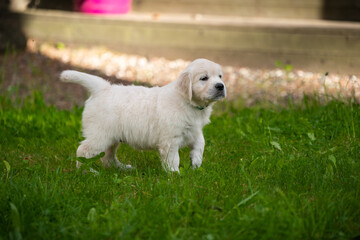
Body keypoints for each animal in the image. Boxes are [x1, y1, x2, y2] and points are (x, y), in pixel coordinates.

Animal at [60, 58, 226, 172]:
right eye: (204, 78)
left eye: (220, 76)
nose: (221, 86)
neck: (189, 102)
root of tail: (102, 88)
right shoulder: (170, 139)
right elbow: (173, 159)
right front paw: (176, 176)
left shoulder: (194, 130)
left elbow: (200, 143)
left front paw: (196, 164)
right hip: (100, 135)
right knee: (83, 150)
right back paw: (86, 172)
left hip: (112, 136)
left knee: (108, 157)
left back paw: (122, 168)